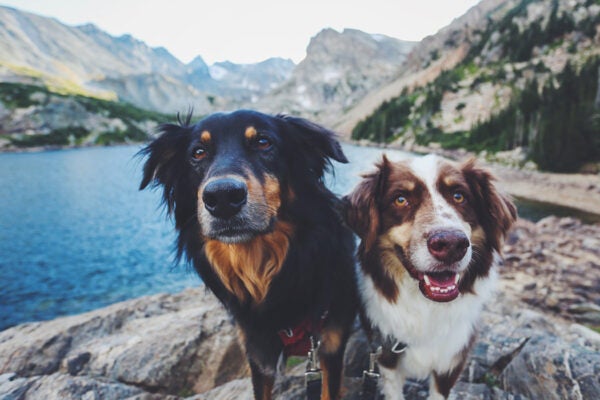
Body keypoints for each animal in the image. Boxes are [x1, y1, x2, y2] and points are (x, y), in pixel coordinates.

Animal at [344, 155, 516, 398]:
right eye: (400, 199)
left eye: (459, 196)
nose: (451, 244)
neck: (426, 306)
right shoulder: (386, 355)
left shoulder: (452, 359)